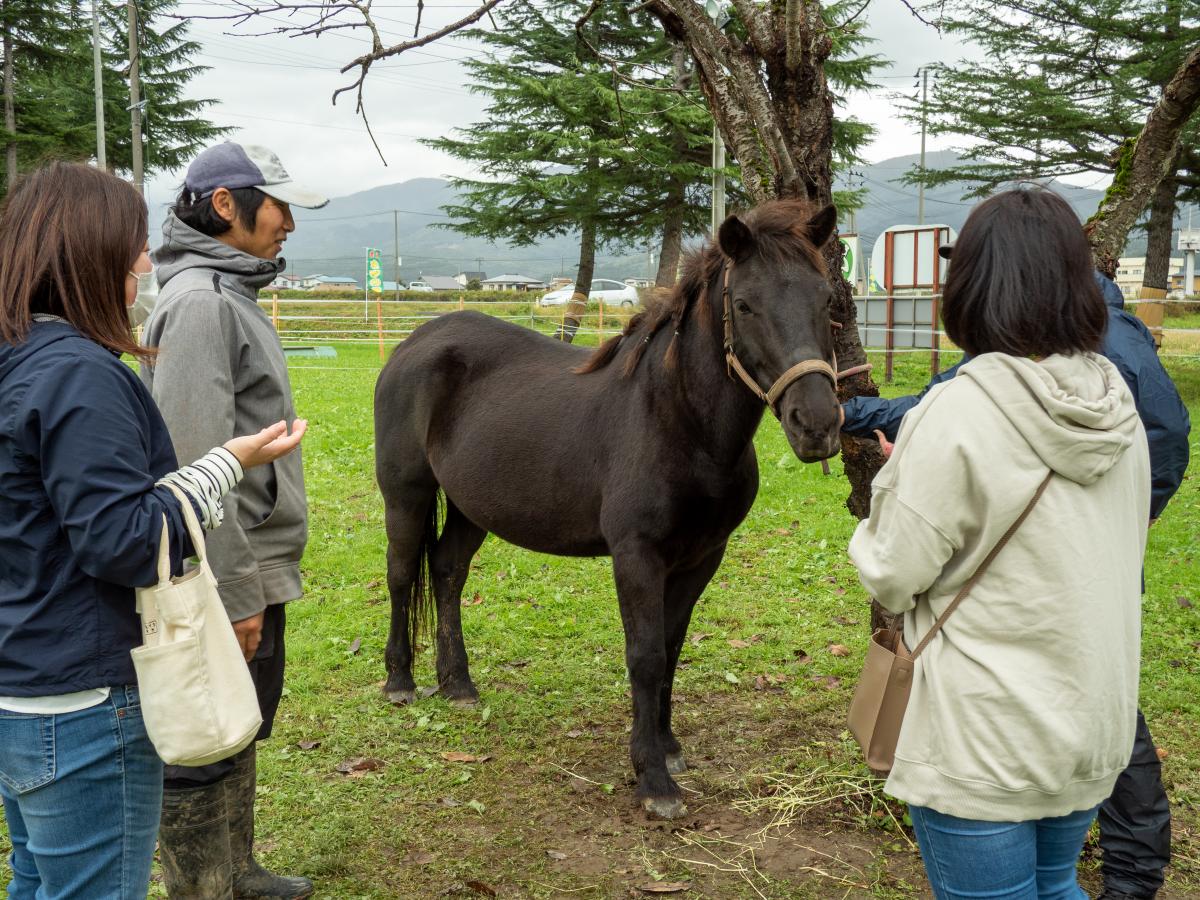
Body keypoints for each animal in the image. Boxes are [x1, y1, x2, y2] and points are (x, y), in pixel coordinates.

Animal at [374, 200, 844, 820]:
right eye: (744, 305)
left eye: (827, 301)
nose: (817, 425)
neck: (679, 422)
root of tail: (415, 342)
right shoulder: (637, 556)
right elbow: (645, 654)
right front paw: (653, 780)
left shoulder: (701, 557)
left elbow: (671, 648)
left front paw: (668, 748)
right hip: (405, 495)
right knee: (403, 575)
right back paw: (400, 680)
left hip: (471, 507)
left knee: (448, 573)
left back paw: (458, 685)